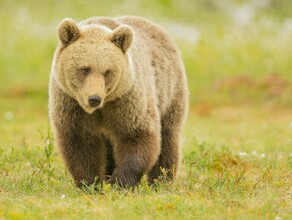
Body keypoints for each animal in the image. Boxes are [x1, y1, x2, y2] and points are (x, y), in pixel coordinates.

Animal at [48, 15, 189, 187]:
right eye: (84, 69)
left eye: (107, 72)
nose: (94, 99)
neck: (102, 107)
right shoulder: (71, 105)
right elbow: (81, 144)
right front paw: (91, 183)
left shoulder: (126, 100)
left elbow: (137, 135)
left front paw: (119, 181)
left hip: (169, 91)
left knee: (168, 138)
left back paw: (160, 180)